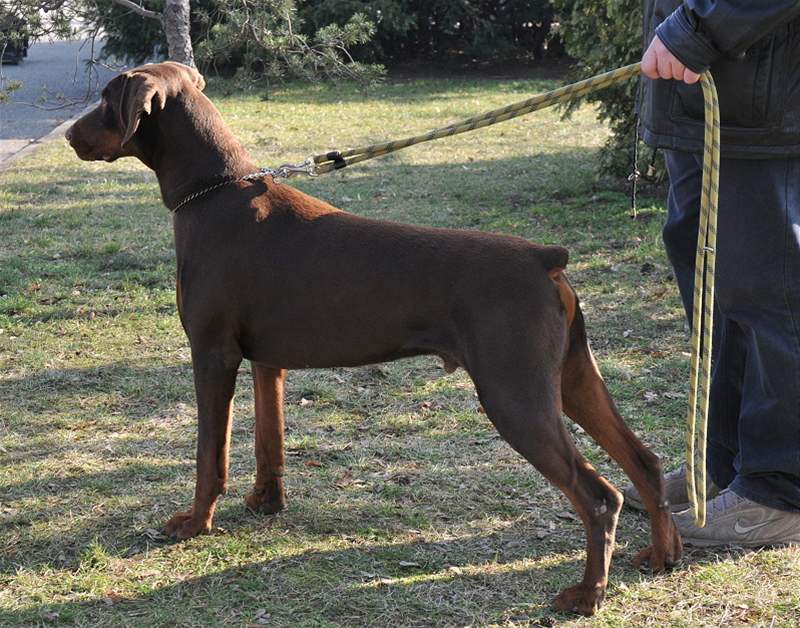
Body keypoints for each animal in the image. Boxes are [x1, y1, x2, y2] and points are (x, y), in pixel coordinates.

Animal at [65, 62, 684, 612]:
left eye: (106, 98)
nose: (70, 134)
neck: (213, 192)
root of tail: (545, 259)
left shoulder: (213, 354)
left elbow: (208, 456)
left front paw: (195, 523)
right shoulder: (267, 362)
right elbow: (269, 443)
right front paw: (267, 502)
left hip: (515, 394)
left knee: (599, 497)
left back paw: (587, 594)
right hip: (571, 378)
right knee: (645, 461)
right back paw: (663, 554)